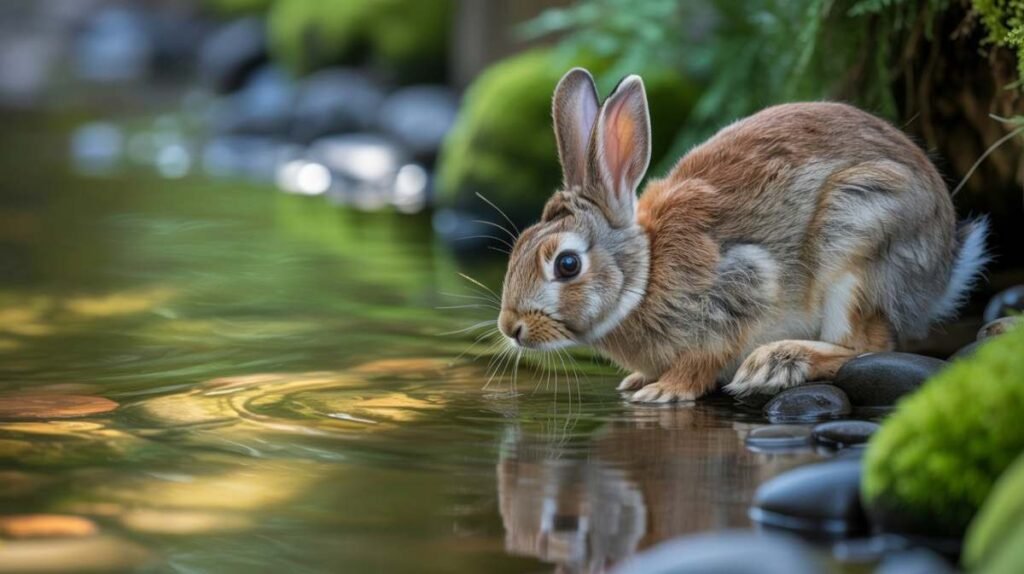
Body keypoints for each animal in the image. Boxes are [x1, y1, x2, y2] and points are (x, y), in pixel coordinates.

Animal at [496, 67, 989, 403]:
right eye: (519, 247)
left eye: (567, 264)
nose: (511, 327)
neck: (646, 273)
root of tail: (943, 269)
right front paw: (637, 381)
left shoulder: (738, 291)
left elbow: (706, 356)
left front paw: (663, 391)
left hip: (858, 239)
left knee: (867, 347)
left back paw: (774, 365)